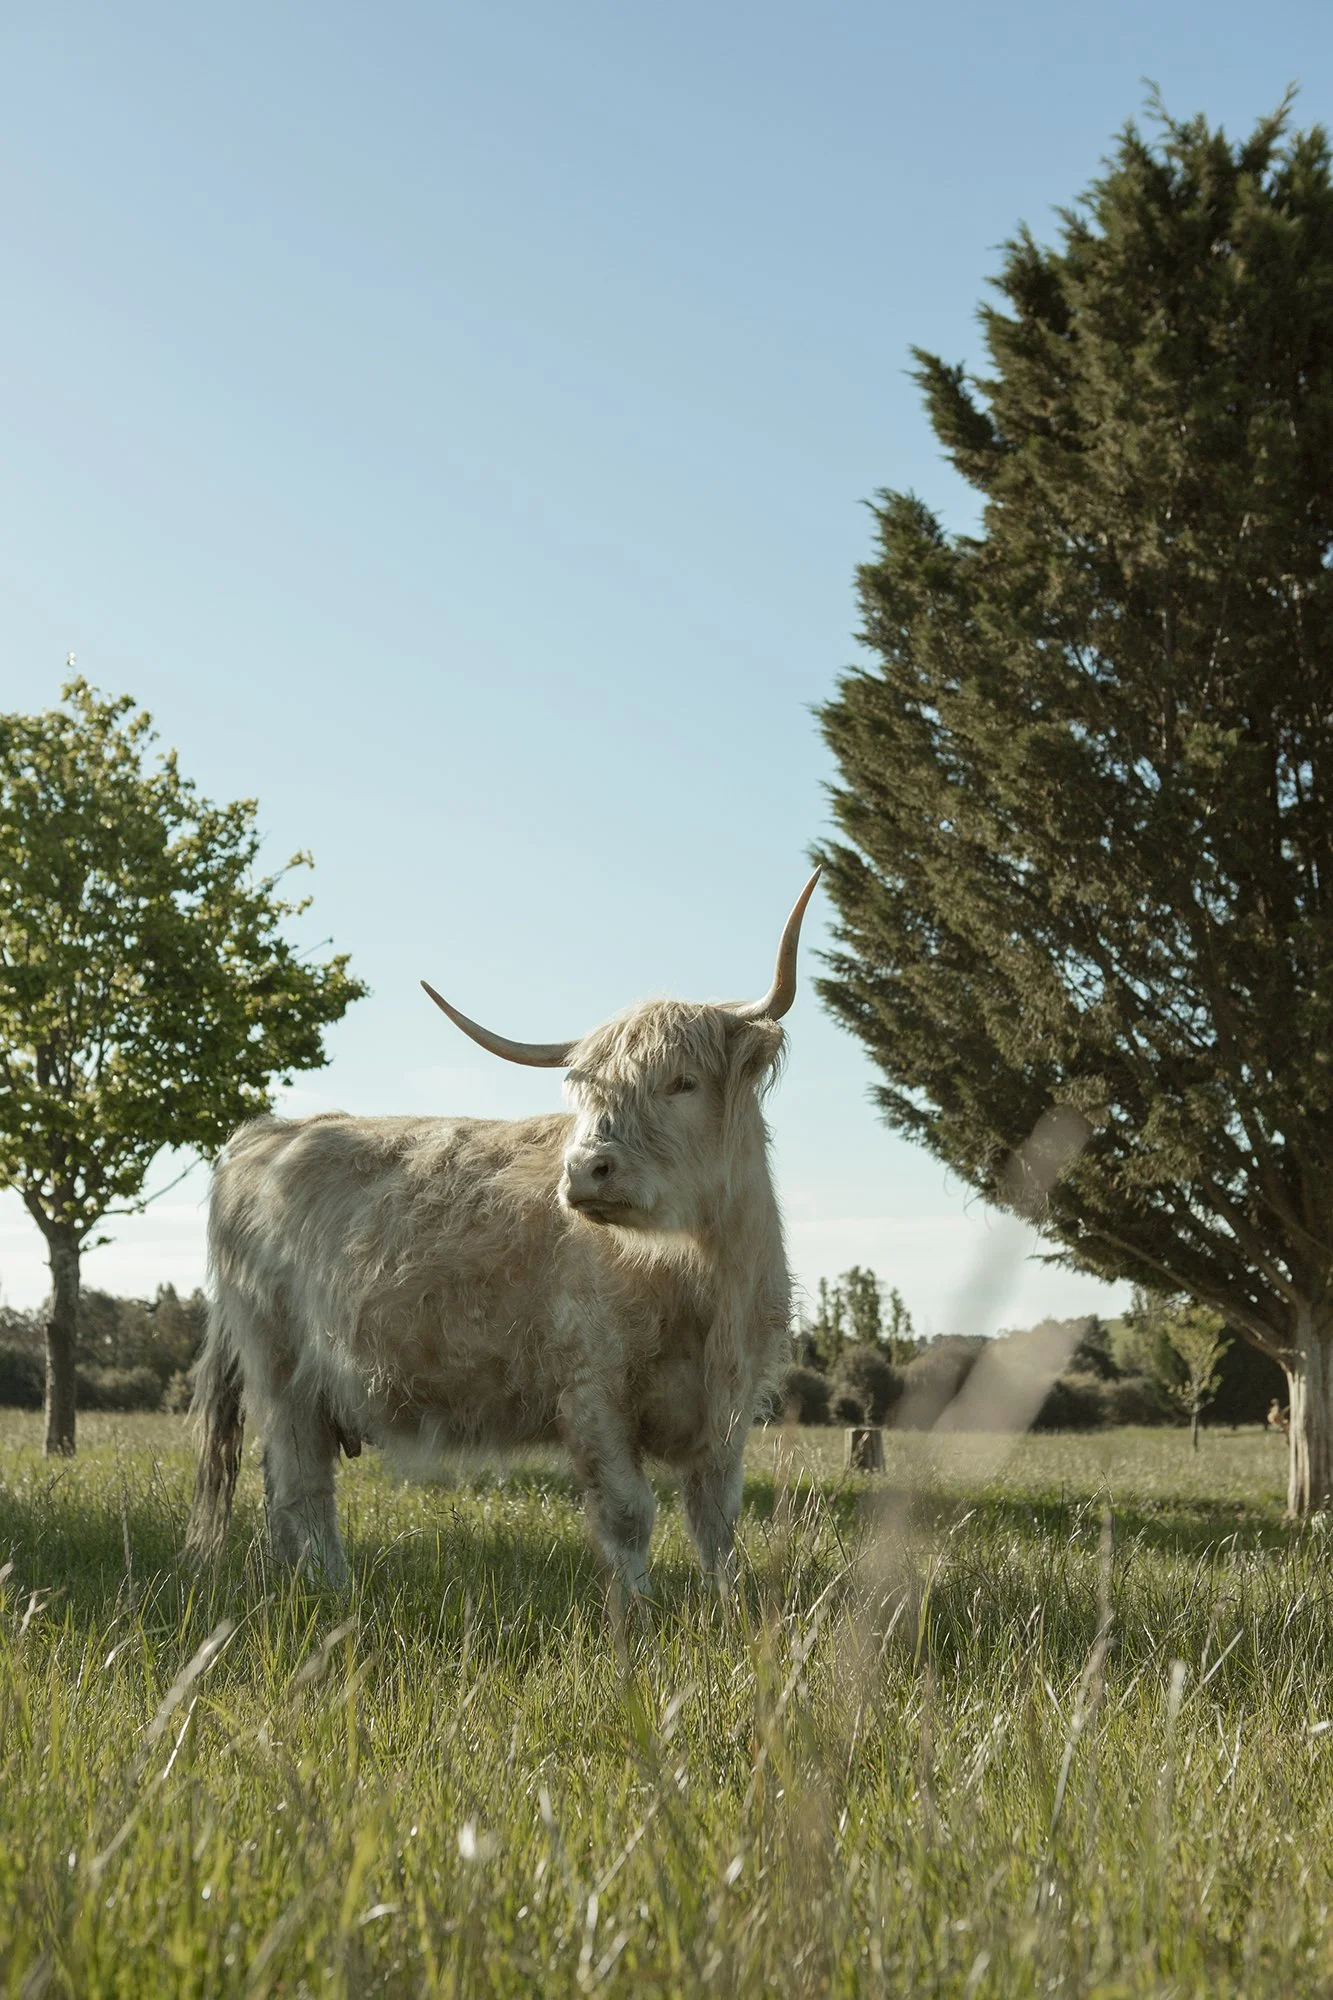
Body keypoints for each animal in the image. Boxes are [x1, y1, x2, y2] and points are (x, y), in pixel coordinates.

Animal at [185, 871, 819, 1593]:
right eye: (586, 1094)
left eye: (682, 1082)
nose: (586, 1169)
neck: (700, 1279)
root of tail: (270, 1132)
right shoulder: (592, 1392)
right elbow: (630, 1512)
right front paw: (636, 1612)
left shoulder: (729, 1409)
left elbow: (716, 1519)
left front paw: (726, 1605)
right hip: (282, 1370)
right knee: (302, 1488)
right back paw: (334, 1592)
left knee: (282, 1490)